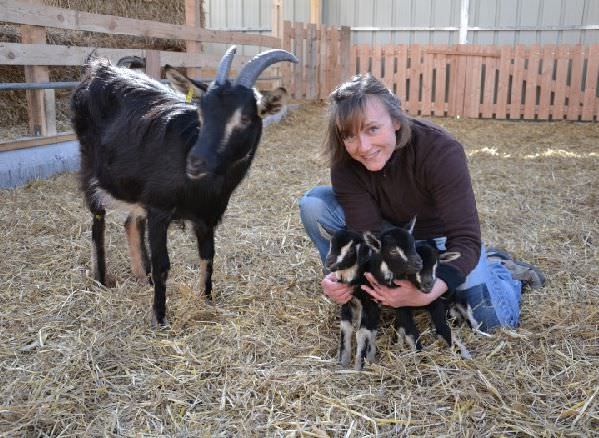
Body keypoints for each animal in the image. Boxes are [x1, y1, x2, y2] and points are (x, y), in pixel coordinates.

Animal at [72, 46, 298, 326]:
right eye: (201, 112)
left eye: (245, 118)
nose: (195, 162)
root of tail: (100, 68)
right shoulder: (159, 209)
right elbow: (163, 265)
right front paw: (159, 318)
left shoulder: (207, 216)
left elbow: (208, 257)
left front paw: (207, 300)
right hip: (90, 168)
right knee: (97, 221)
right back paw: (101, 279)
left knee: (130, 223)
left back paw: (142, 277)